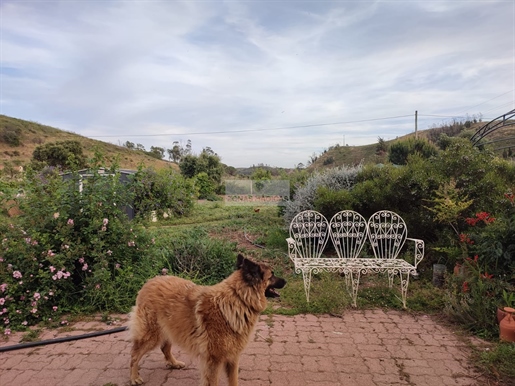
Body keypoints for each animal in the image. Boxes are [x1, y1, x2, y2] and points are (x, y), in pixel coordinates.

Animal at [127, 255, 284, 384]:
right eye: (272, 275)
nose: (286, 281)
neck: (238, 299)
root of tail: (150, 281)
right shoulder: (213, 361)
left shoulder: (233, 357)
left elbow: (233, 381)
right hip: (151, 335)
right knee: (134, 354)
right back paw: (134, 377)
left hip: (171, 329)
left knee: (164, 348)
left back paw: (174, 363)